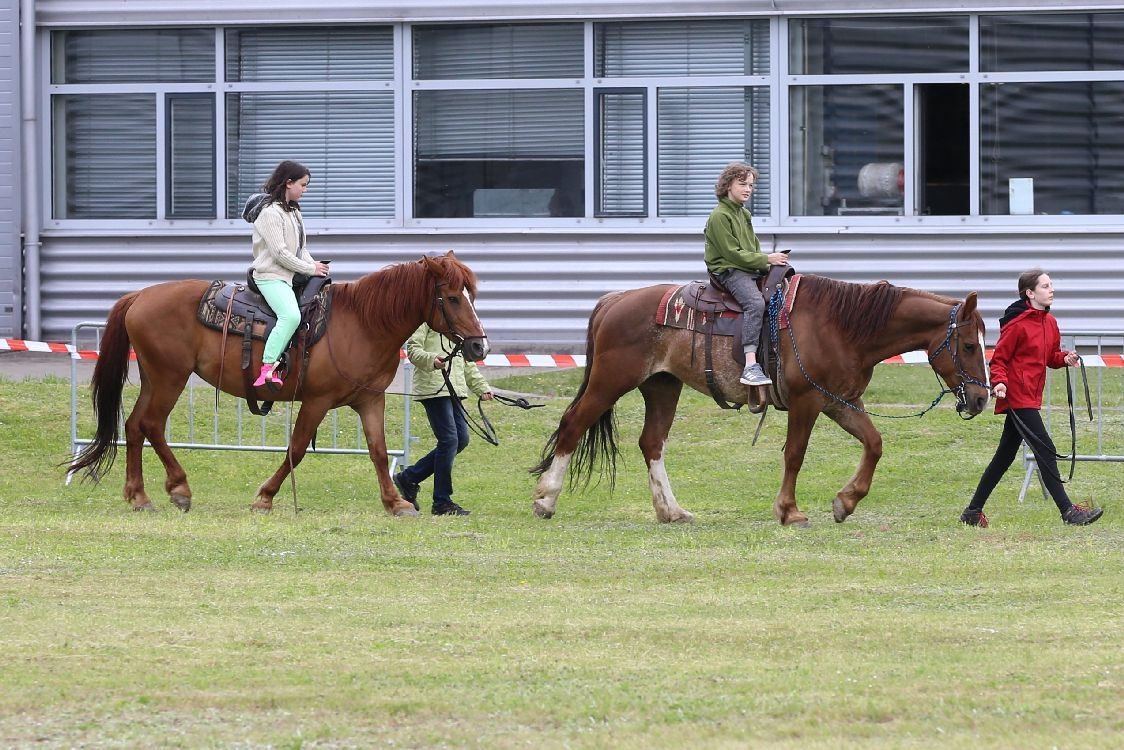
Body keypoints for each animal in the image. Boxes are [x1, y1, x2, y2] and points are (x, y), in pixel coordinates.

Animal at [66, 251, 487, 517]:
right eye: (452, 297)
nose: (479, 346)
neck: (363, 323)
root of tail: (140, 295)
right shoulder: (317, 401)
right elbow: (297, 449)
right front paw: (265, 498)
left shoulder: (370, 401)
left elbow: (379, 452)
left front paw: (396, 503)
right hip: (170, 377)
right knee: (152, 425)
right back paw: (179, 488)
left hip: (155, 377)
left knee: (135, 426)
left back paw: (139, 496)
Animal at [530, 275, 989, 528]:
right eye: (968, 345)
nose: (983, 398)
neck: (842, 326)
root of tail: (614, 300)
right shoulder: (807, 401)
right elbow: (795, 454)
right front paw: (789, 511)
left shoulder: (840, 401)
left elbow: (874, 444)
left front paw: (845, 502)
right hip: (610, 382)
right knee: (573, 425)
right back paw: (545, 499)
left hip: (662, 386)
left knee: (652, 443)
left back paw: (671, 511)